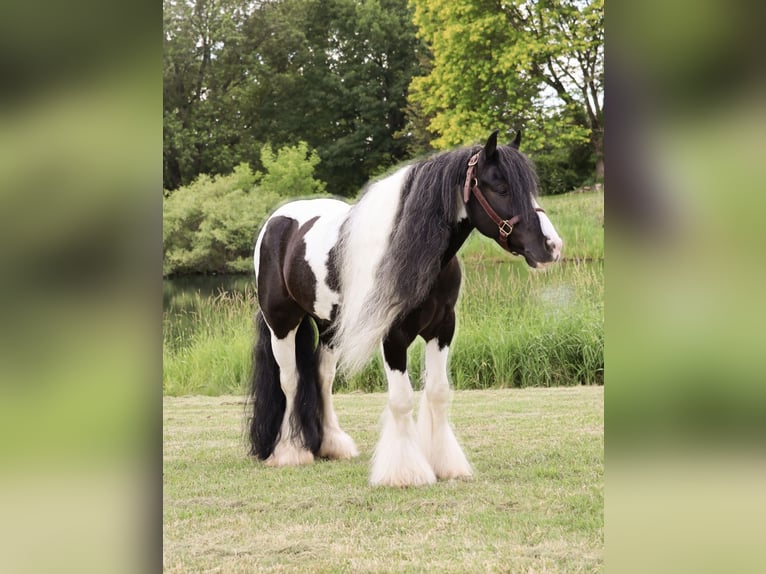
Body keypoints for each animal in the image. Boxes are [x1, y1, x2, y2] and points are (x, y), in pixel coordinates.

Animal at [247, 130, 562, 487]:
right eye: (501, 187)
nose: (551, 247)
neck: (411, 250)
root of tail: (278, 221)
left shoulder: (442, 328)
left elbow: (438, 391)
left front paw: (445, 464)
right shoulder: (392, 335)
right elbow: (401, 399)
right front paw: (404, 472)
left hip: (330, 328)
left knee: (322, 375)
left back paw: (332, 444)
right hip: (281, 322)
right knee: (289, 378)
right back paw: (290, 451)